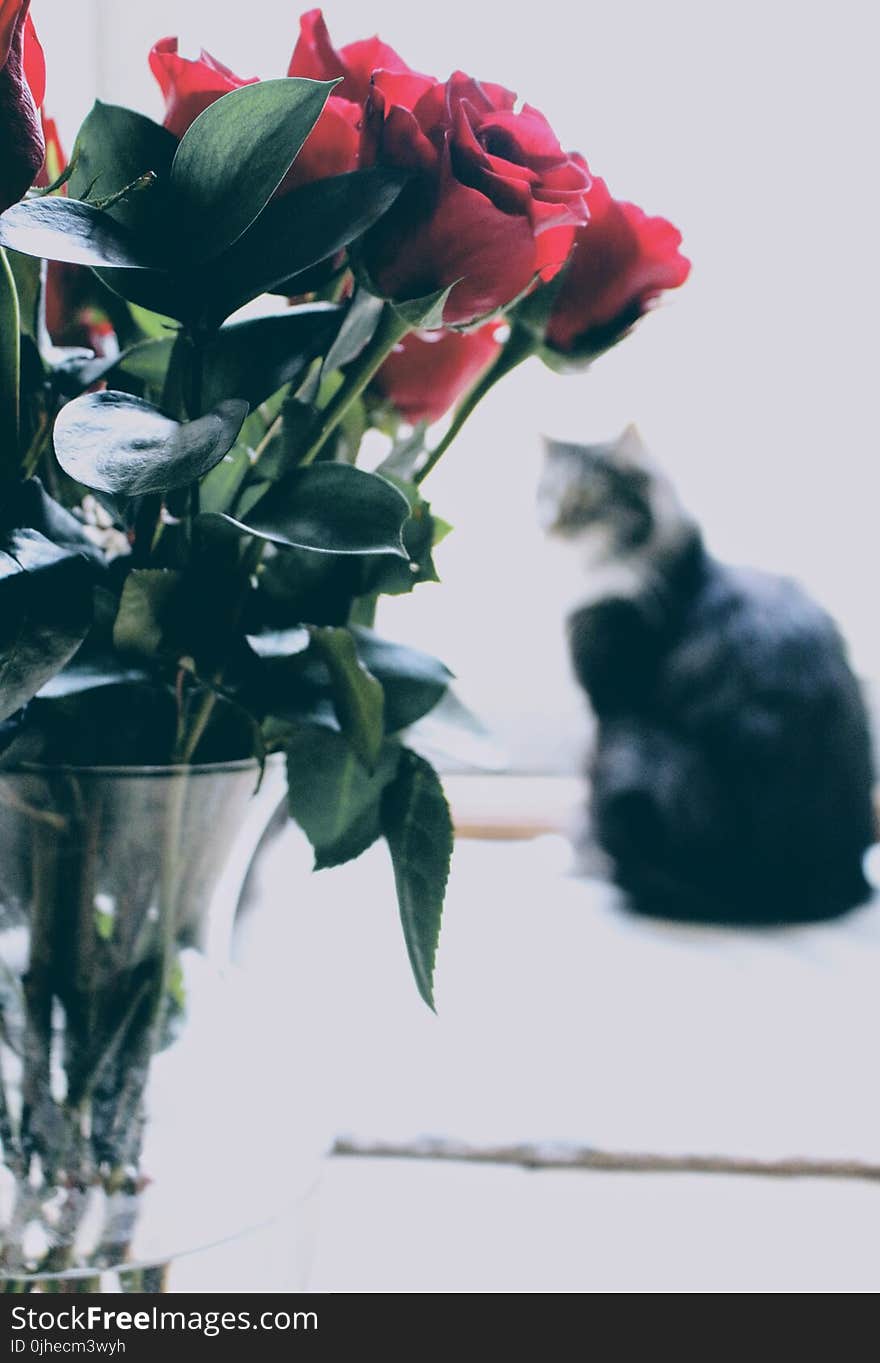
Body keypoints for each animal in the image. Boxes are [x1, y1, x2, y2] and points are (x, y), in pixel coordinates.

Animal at [542, 425, 877, 926]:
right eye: (545, 493)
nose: (551, 525)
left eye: (585, 496)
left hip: (635, 751)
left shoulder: (611, 696)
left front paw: (575, 855)